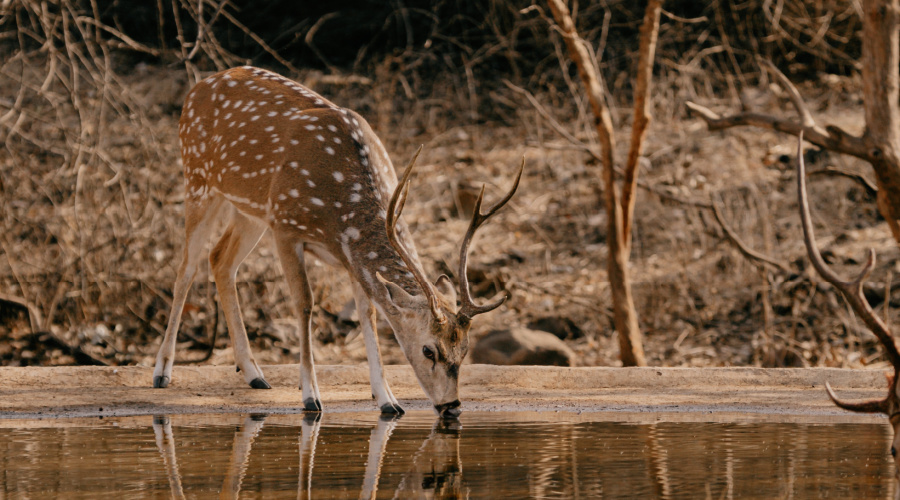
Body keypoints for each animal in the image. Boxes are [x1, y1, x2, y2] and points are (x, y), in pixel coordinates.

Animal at [151, 66, 524, 418]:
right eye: (428, 349)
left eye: (465, 349)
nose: (452, 406)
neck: (339, 214)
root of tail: (197, 88)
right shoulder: (286, 226)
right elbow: (305, 303)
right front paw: (310, 397)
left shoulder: (350, 255)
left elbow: (367, 313)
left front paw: (388, 400)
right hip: (198, 180)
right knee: (186, 267)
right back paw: (162, 372)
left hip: (250, 209)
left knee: (220, 260)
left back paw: (254, 374)